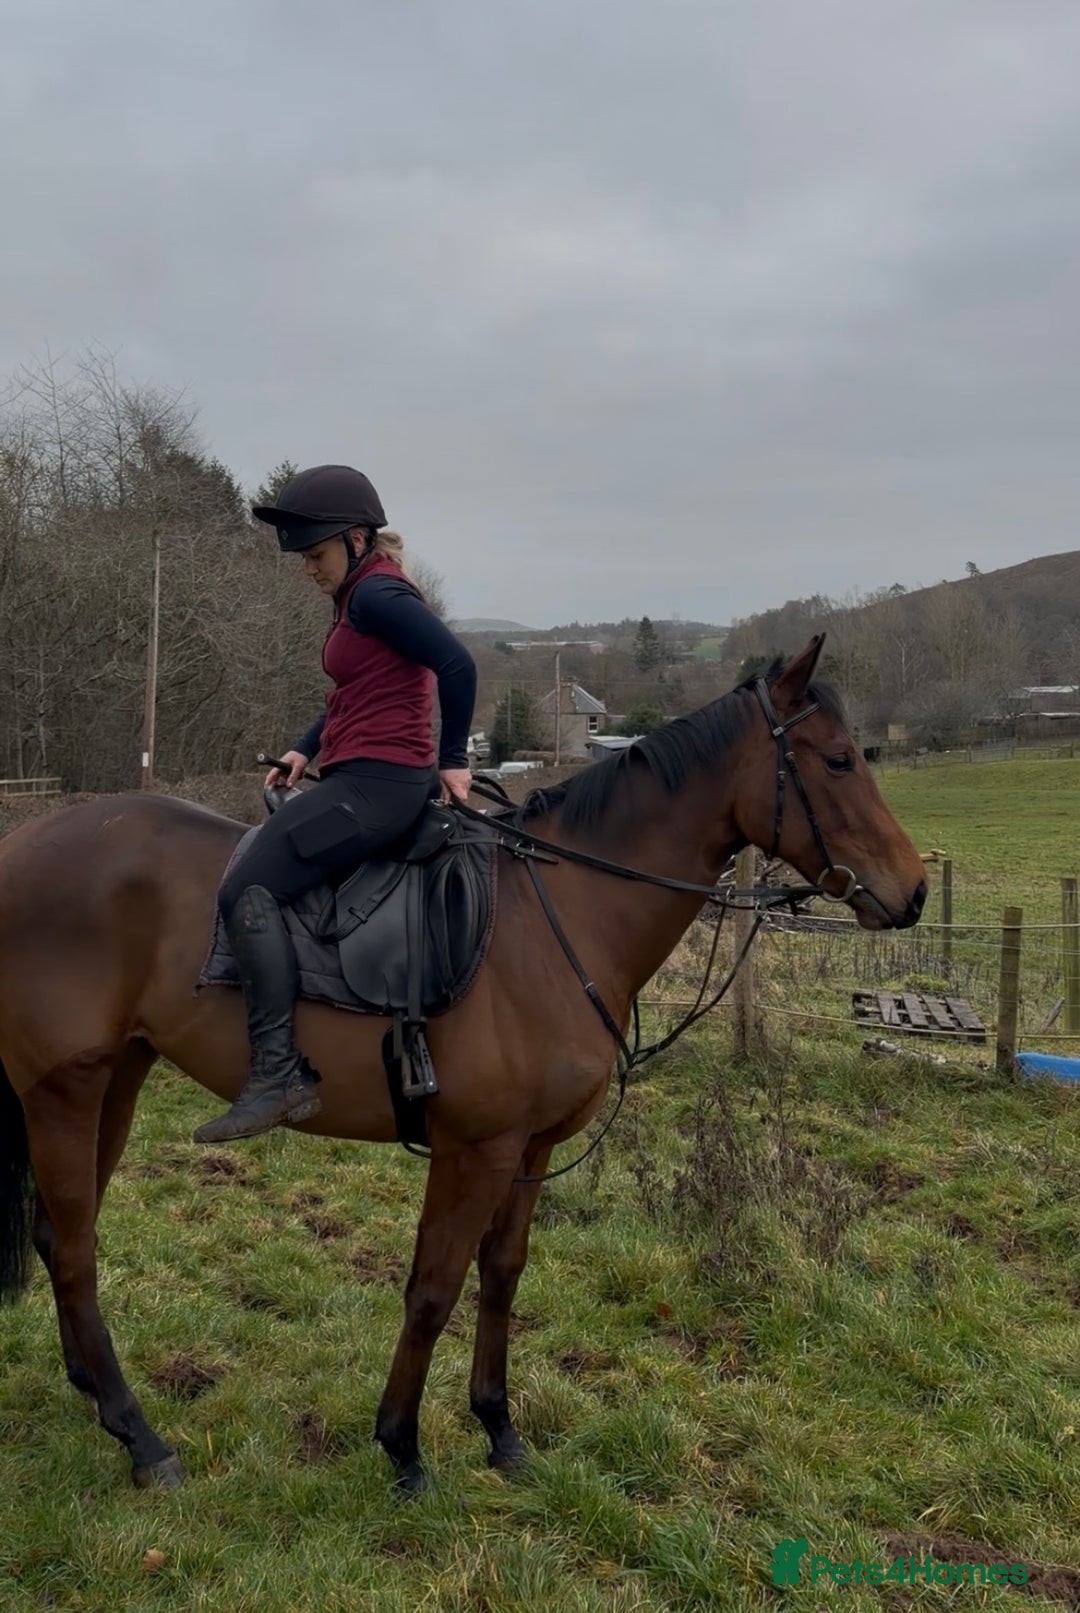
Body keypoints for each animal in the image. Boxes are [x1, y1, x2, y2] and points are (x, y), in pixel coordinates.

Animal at [0, 637, 926, 1491]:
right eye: (838, 759)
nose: (913, 891)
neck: (562, 913)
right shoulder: (474, 1148)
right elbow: (433, 1288)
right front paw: (402, 1445)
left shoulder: (530, 1148)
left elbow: (501, 1275)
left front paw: (498, 1427)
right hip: (62, 1089)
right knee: (75, 1248)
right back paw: (140, 1436)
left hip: (119, 1078)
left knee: (57, 1237)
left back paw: (96, 1396)